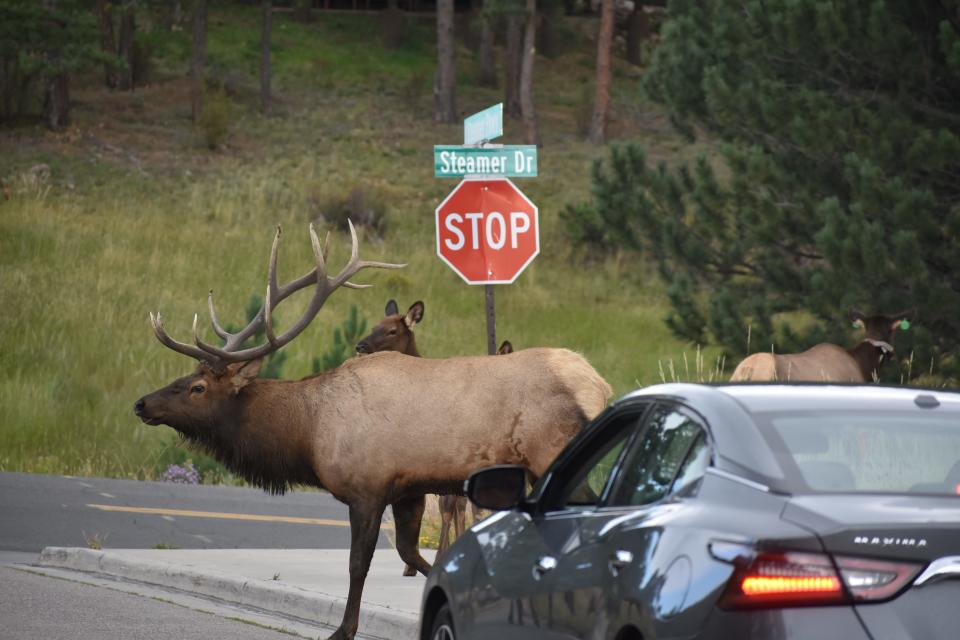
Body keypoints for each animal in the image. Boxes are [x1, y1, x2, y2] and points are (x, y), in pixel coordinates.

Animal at [132, 221, 612, 640]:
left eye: (197, 387)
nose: (142, 404)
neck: (309, 430)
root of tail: (599, 384)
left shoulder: (367, 487)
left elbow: (358, 563)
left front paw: (343, 630)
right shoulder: (409, 488)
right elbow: (410, 553)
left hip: (552, 452)